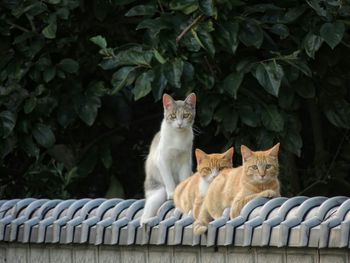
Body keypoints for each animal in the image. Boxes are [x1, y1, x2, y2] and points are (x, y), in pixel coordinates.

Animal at [142, 93, 197, 227]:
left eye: (186, 115)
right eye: (173, 116)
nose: (180, 124)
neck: (178, 137)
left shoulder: (185, 161)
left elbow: (183, 178)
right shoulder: (162, 160)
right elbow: (168, 178)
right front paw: (172, 193)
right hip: (157, 192)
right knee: (143, 218)